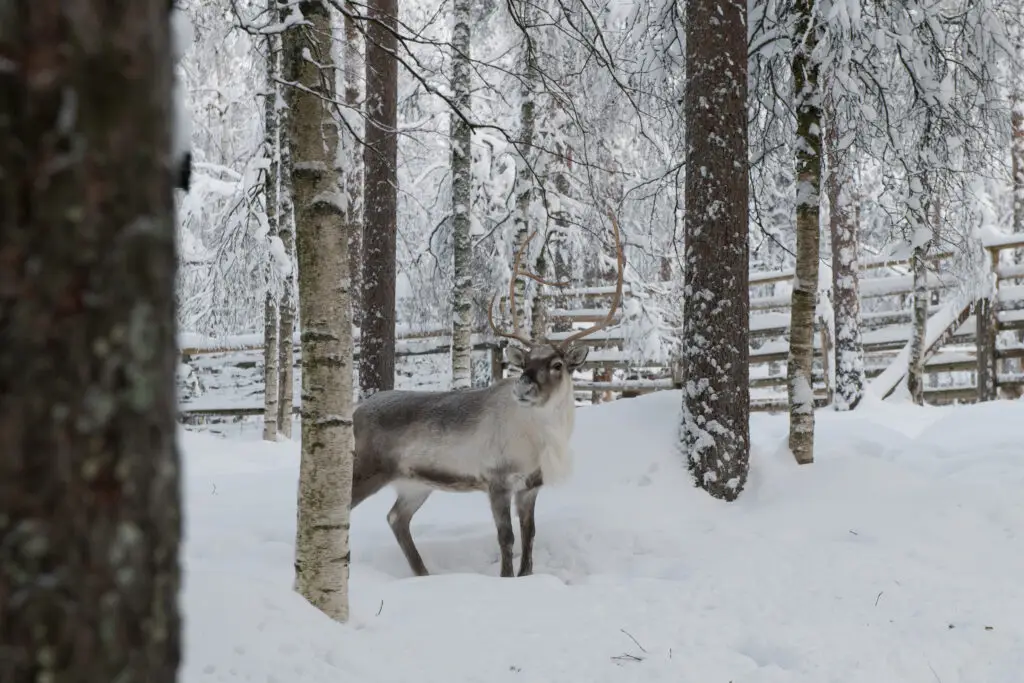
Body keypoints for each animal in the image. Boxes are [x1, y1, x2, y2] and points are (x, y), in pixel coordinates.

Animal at [350, 213, 625, 578]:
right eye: (524, 362)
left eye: (556, 364)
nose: (523, 386)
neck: (543, 440)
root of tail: (353, 411)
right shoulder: (497, 480)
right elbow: (506, 537)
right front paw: (506, 579)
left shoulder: (530, 486)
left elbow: (530, 535)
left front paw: (526, 576)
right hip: (365, 469)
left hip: (414, 483)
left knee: (396, 518)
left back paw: (424, 575)